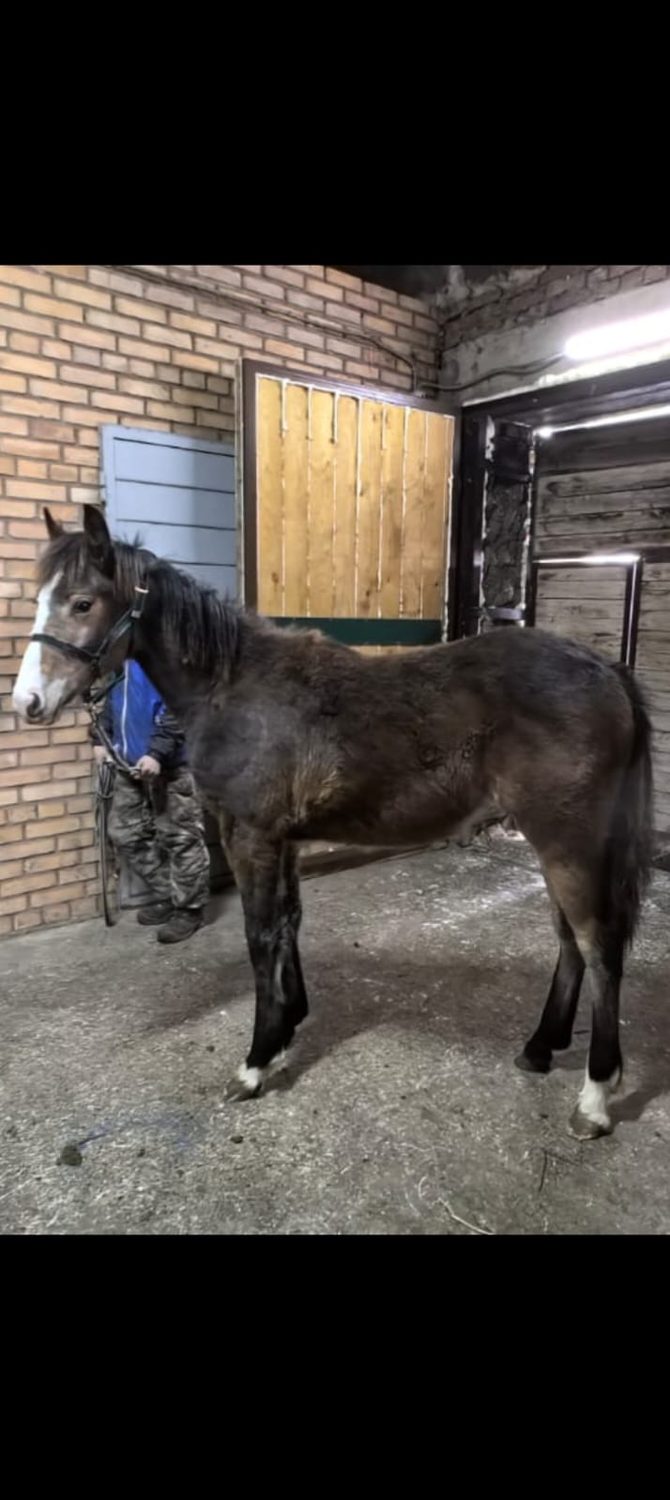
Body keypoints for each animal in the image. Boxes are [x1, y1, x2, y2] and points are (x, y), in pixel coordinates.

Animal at [11, 505, 653, 1140]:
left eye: (83, 603)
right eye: (39, 597)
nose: (28, 704)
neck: (231, 687)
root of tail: (608, 669)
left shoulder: (249, 836)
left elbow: (260, 936)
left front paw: (256, 1061)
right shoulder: (285, 841)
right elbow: (289, 924)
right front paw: (289, 1023)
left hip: (568, 842)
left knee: (598, 946)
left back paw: (595, 1095)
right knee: (569, 941)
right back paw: (541, 1046)